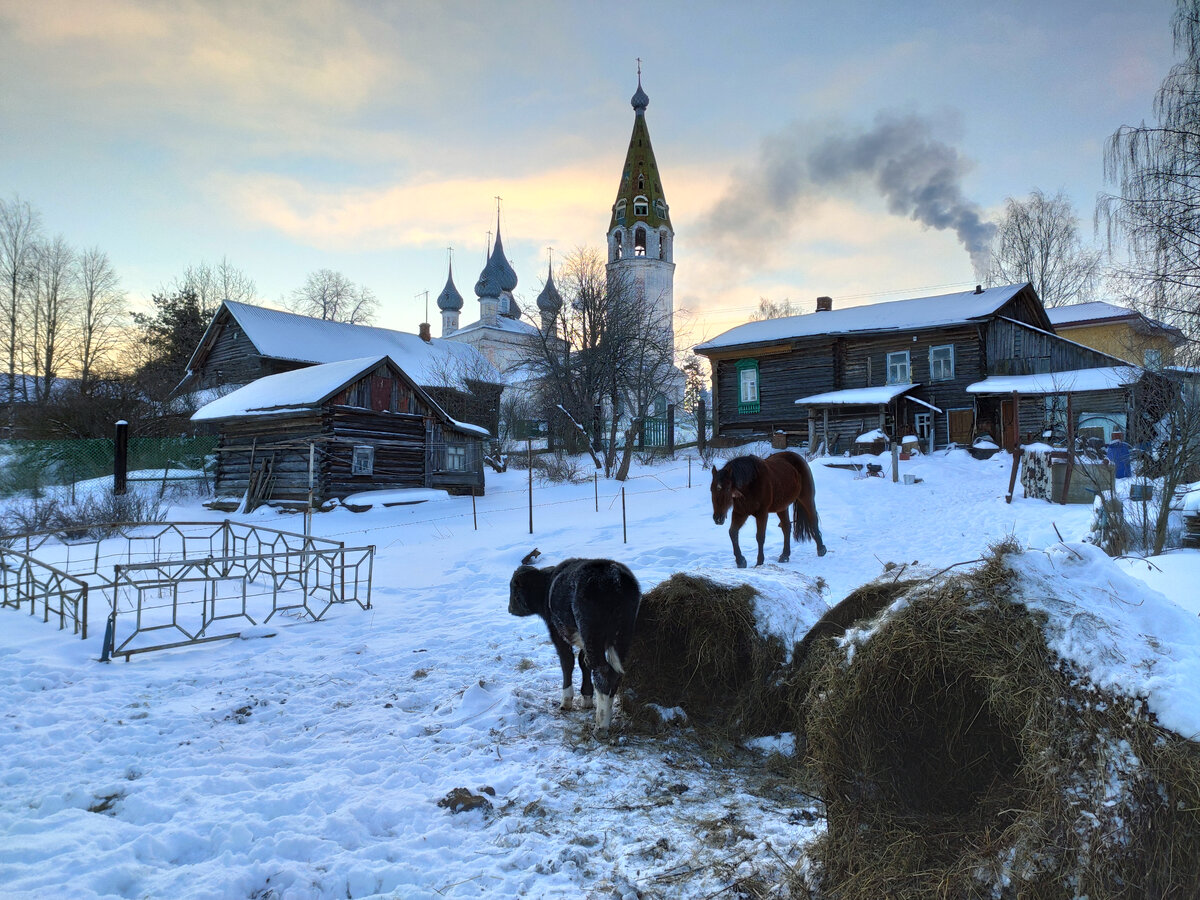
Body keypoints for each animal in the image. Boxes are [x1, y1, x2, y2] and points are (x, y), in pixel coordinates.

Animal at [506, 556, 643, 734]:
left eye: (514, 589)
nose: (509, 609)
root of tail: (615, 577)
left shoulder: (556, 631)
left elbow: (567, 662)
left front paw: (566, 701)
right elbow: (583, 662)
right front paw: (587, 697)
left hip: (592, 633)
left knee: (603, 673)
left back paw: (601, 725)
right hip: (621, 636)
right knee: (615, 672)